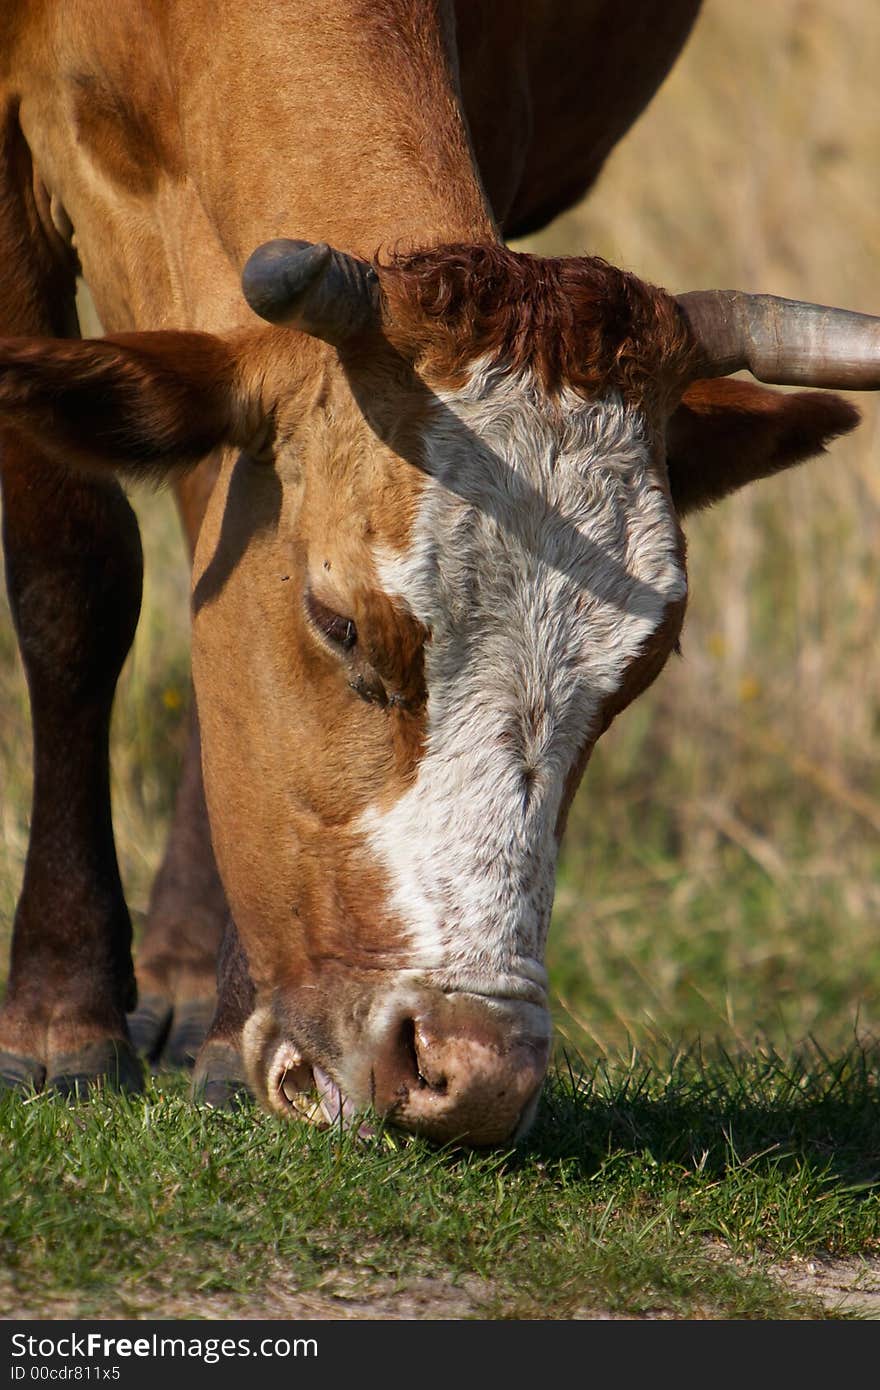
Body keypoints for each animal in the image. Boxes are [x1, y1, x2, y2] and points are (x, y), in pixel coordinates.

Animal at [0, 5, 873, 1145]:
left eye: (640, 672)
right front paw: (58, 1019)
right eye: (338, 624)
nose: (476, 1072)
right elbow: (72, 568)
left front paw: (228, 1040)